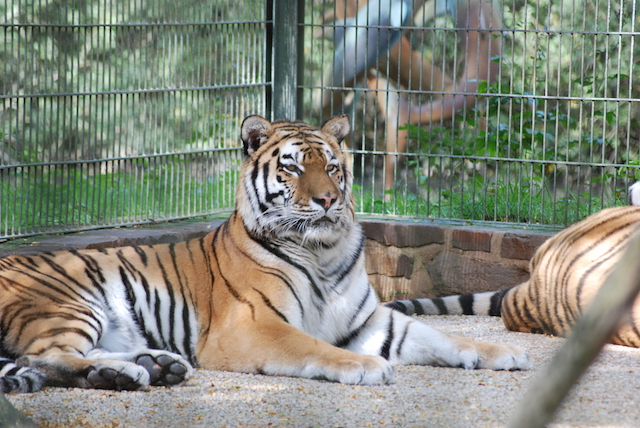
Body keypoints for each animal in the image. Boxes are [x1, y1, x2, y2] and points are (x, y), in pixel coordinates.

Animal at [0, 115, 528, 392]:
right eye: (292, 167)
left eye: (332, 167)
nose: (328, 200)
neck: (322, 252)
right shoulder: (252, 326)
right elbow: (312, 346)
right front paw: (364, 366)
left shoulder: (373, 320)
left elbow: (443, 336)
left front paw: (502, 351)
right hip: (66, 302)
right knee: (47, 355)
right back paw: (129, 372)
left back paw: (153, 365)